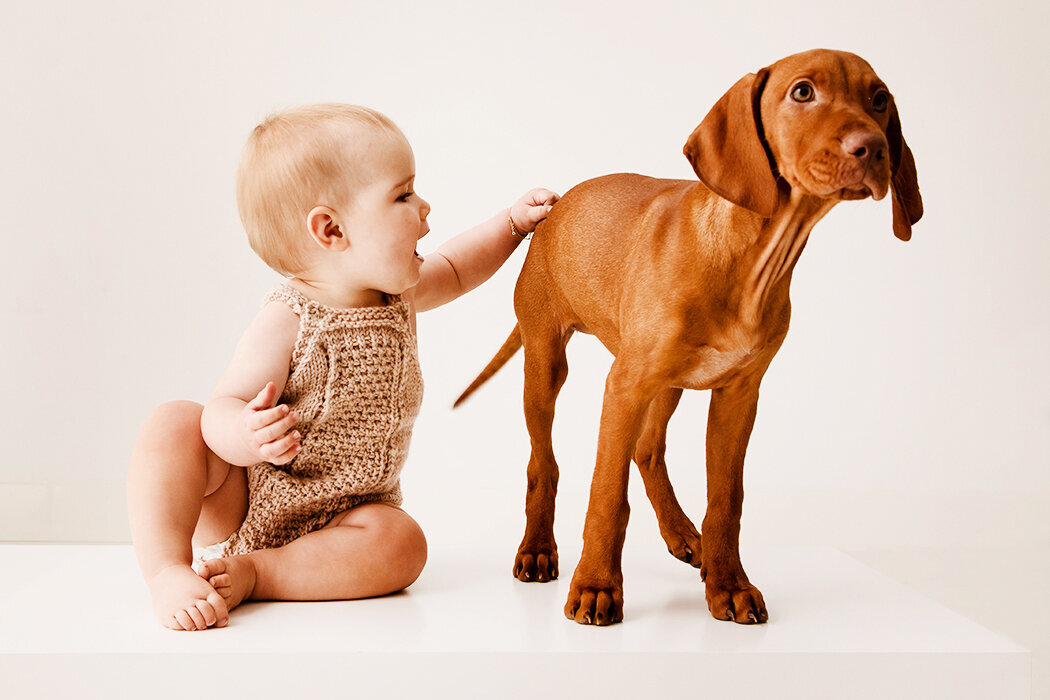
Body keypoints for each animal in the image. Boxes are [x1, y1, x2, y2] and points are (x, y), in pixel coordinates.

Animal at [451, 50, 919, 629]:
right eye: (803, 92)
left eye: (879, 99)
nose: (872, 147)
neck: (752, 261)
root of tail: (554, 210)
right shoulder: (623, 386)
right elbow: (606, 494)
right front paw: (596, 587)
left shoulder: (738, 395)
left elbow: (726, 501)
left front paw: (729, 584)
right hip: (547, 360)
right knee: (546, 461)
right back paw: (538, 548)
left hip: (668, 383)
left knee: (647, 450)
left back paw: (681, 533)